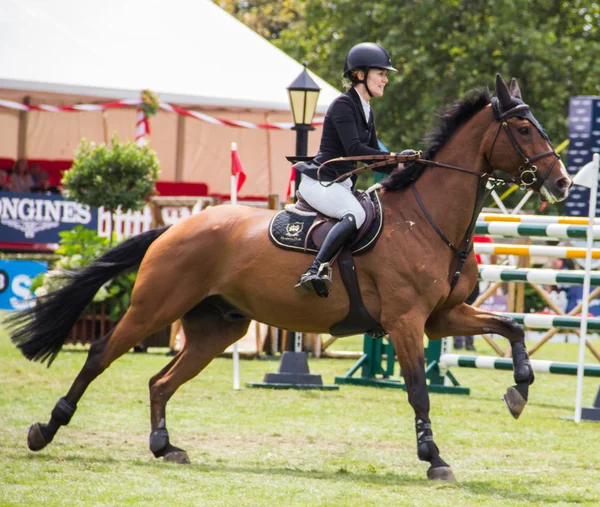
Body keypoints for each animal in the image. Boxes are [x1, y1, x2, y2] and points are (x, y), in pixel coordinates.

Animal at [8, 74, 572, 480]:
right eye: (524, 129)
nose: (563, 182)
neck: (426, 217)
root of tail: (175, 227)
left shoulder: (442, 317)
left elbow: (512, 328)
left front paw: (519, 392)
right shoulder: (406, 322)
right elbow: (417, 389)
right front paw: (434, 458)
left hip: (217, 328)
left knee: (160, 380)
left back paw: (164, 447)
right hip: (154, 308)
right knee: (101, 354)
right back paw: (45, 429)